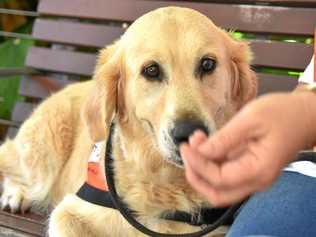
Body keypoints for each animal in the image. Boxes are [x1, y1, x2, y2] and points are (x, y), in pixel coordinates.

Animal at [0, 6, 256, 236]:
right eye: (151, 70)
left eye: (207, 64)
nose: (190, 134)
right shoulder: (68, 213)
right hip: (43, 157)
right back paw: (16, 194)